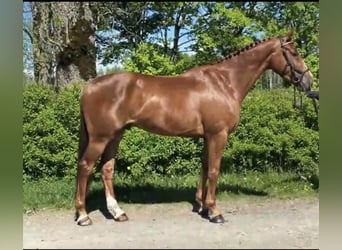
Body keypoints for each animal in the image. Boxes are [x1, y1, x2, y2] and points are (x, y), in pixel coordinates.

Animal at [74, 30, 312, 226]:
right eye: (293, 52)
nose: (308, 81)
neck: (225, 82)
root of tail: (89, 86)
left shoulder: (208, 136)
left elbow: (205, 167)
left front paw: (203, 206)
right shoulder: (218, 135)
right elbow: (214, 170)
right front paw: (215, 212)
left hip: (115, 136)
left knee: (107, 169)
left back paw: (117, 212)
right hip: (100, 138)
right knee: (85, 167)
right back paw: (83, 215)